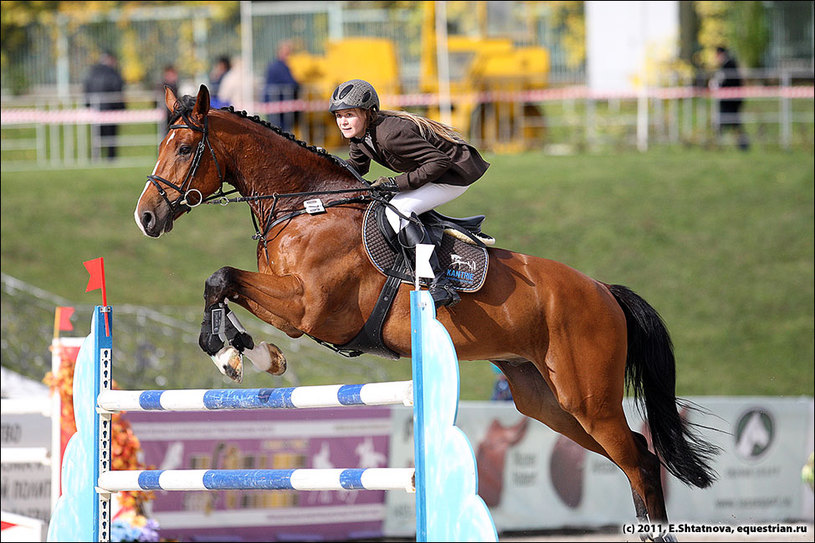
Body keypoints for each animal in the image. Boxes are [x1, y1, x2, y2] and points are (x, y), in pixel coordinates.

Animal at [135, 86, 720, 540]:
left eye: (183, 148)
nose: (146, 217)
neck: (303, 205)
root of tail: (603, 291)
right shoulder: (291, 302)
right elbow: (221, 285)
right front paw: (247, 354)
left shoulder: (307, 308)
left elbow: (221, 278)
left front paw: (236, 356)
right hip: (546, 401)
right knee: (634, 457)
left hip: (589, 398)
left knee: (640, 461)